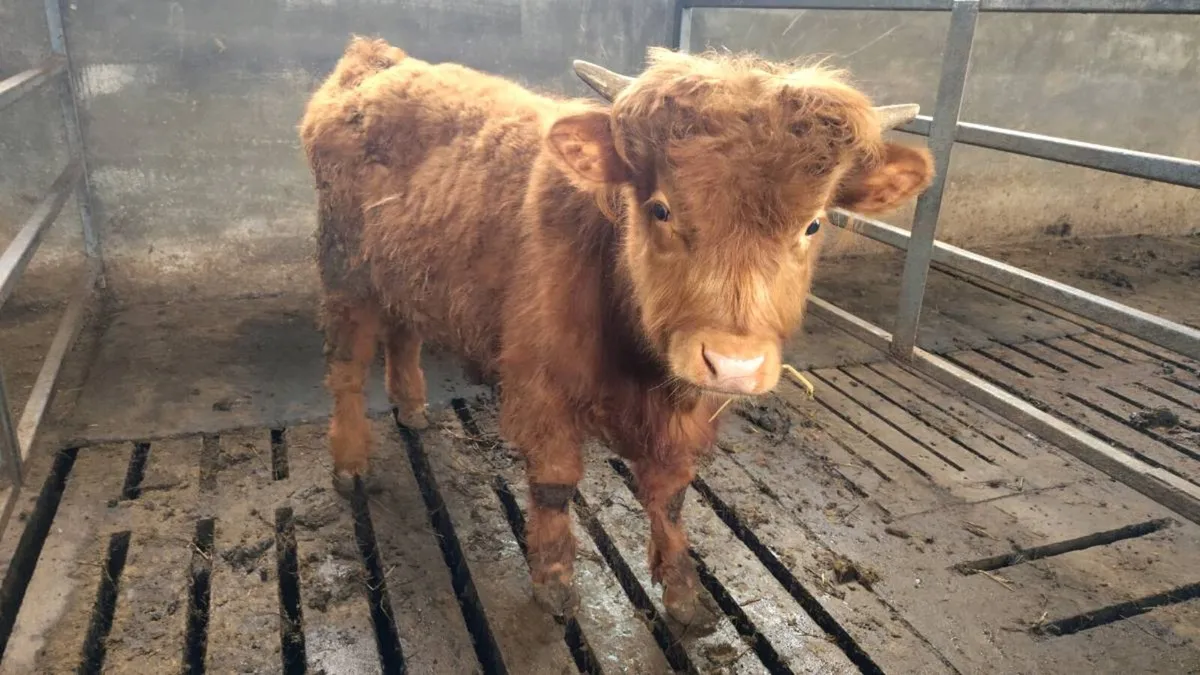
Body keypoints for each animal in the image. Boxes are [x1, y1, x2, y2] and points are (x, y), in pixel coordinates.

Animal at [299, 36, 934, 627]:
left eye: (813, 224)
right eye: (661, 209)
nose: (733, 365)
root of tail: (375, 60)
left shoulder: (682, 416)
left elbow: (672, 498)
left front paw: (683, 591)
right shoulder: (543, 390)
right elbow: (555, 485)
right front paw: (555, 580)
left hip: (404, 271)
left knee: (403, 333)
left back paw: (412, 408)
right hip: (343, 270)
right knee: (346, 369)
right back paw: (350, 464)